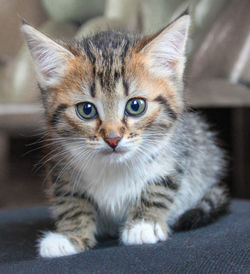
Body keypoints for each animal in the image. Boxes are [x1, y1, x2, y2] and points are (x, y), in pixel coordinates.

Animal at [21, 15, 229, 258]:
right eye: (86, 110)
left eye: (135, 106)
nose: (112, 139)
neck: (114, 167)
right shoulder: (59, 162)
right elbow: (71, 201)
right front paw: (70, 236)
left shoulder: (176, 151)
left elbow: (160, 185)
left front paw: (144, 224)